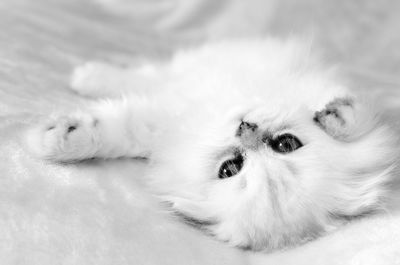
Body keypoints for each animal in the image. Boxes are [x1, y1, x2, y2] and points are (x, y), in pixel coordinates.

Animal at [26, 37, 398, 250]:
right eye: (286, 144)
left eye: (230, 168)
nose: (245, 129)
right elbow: (361, 114)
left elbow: (116, 128)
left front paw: (55, 137)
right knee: (148, 75)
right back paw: (89, 76)